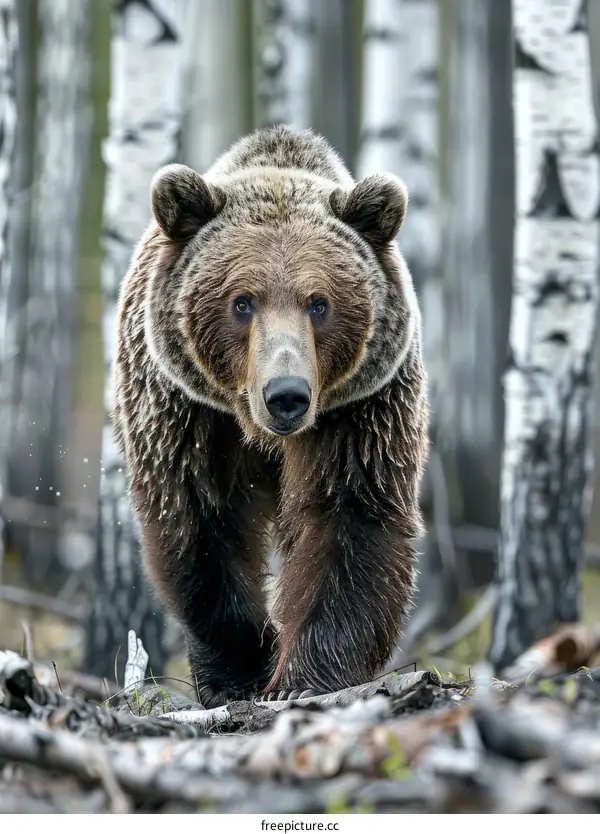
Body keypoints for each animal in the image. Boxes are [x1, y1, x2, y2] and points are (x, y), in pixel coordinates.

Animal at [113, 125, 428, 707]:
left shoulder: (358, 412)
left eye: (319, 302)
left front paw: (307, 679)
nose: (286, 394)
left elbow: (350, 518)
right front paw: (241, 672)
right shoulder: (188, 413)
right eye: (242, 301)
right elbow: (201, 525)